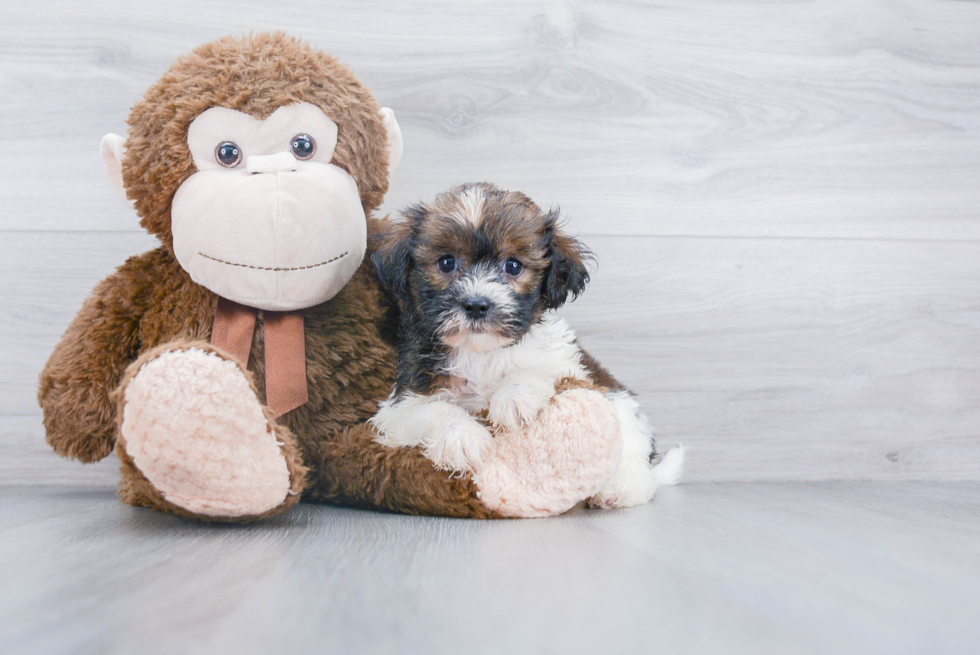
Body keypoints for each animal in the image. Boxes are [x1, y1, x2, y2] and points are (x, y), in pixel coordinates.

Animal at [368, 182, 680, 510]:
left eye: (513, 266)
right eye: (446, 262)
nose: (476, 305)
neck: (482, 352)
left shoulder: (565, 362)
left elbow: (538, 369)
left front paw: (514, 398)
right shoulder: (401, 402)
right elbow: (429, 411)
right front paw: (462, 436)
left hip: (623, 410)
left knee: (638, 466)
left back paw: (618, 487)